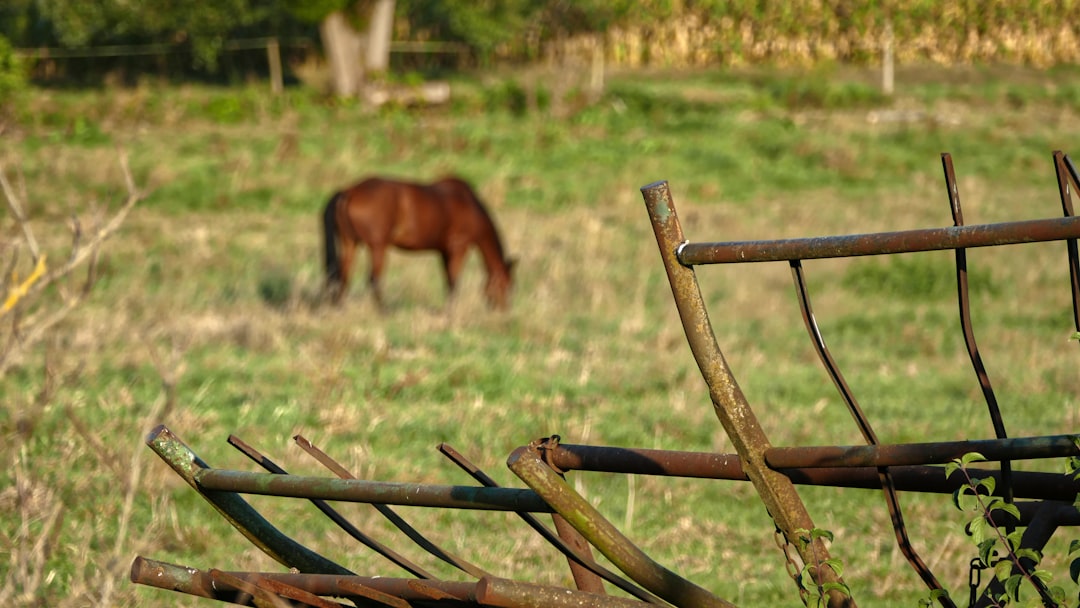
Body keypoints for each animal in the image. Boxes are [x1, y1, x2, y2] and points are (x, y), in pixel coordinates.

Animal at [319, 174, 514, 308]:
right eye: (507, 285)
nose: (503, 310)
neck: (470, 206)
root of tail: (349, 192)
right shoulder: (459, 248)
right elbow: (454, 281)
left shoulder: (444, 252)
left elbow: (447, 280)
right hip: (377, 247)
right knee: (374, 279)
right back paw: (384, 311)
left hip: (350, 243)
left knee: (343, 276)